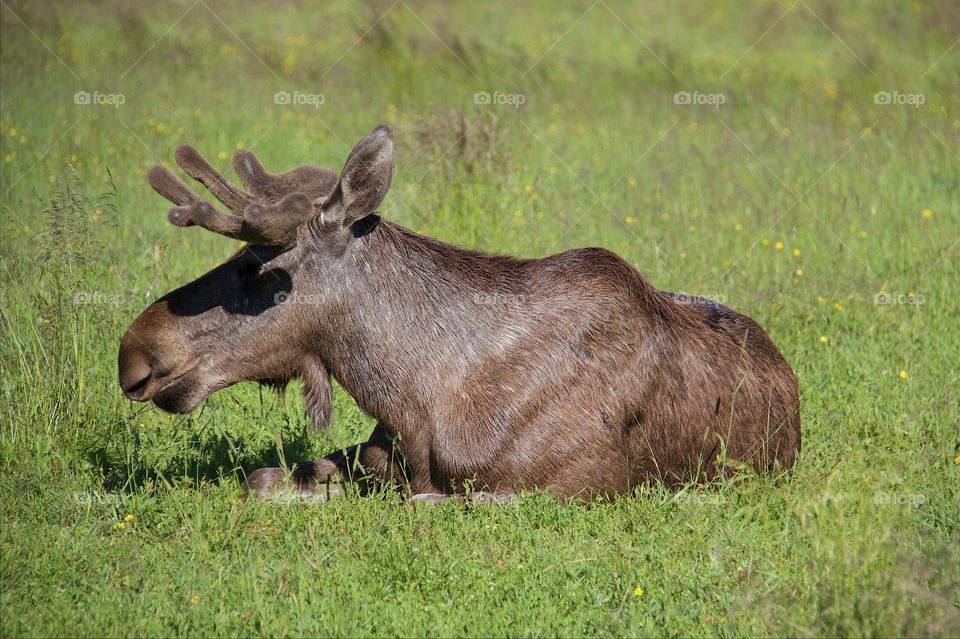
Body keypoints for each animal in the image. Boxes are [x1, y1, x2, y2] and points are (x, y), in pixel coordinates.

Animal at [118, 124, 801, 503]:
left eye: (257, 268)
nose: (135, 353)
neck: (413, 398)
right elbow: (264, 480)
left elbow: (414, 502)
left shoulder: (560, 492)